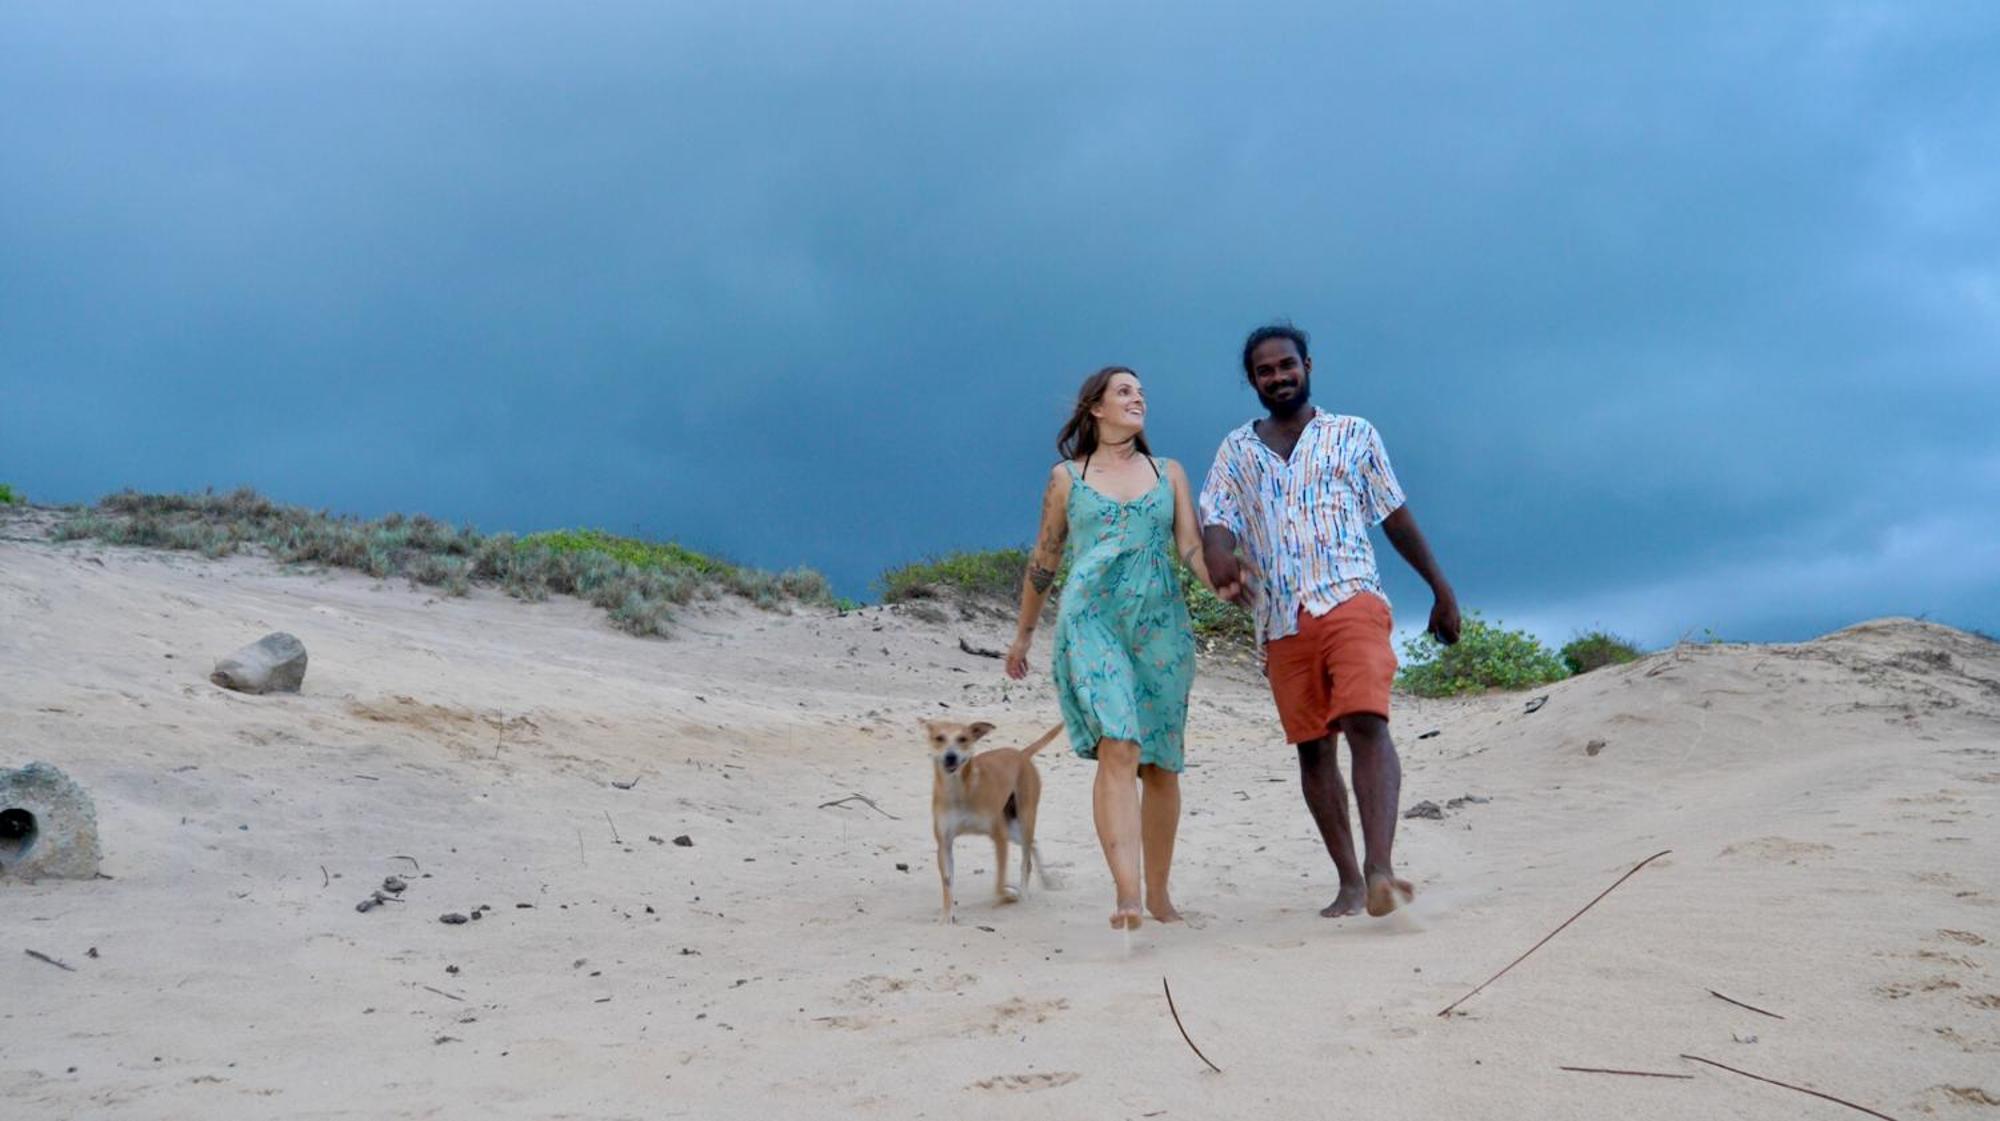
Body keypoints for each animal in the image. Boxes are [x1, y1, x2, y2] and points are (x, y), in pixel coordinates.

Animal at [928, 720, 1072, 924]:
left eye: (963, 739)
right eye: (939, 738)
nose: (950, 757)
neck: (960, 790)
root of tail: (1021, 754)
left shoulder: (999, 837)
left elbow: (998, 886)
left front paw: (1009, 895)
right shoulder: (944, 844)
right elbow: (947, 883)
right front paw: (947, 915)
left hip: (1024, 819)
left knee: (1026, 862)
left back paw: (1025, 894)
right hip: (1013, 828)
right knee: (1034, 843)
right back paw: (1046, 881)